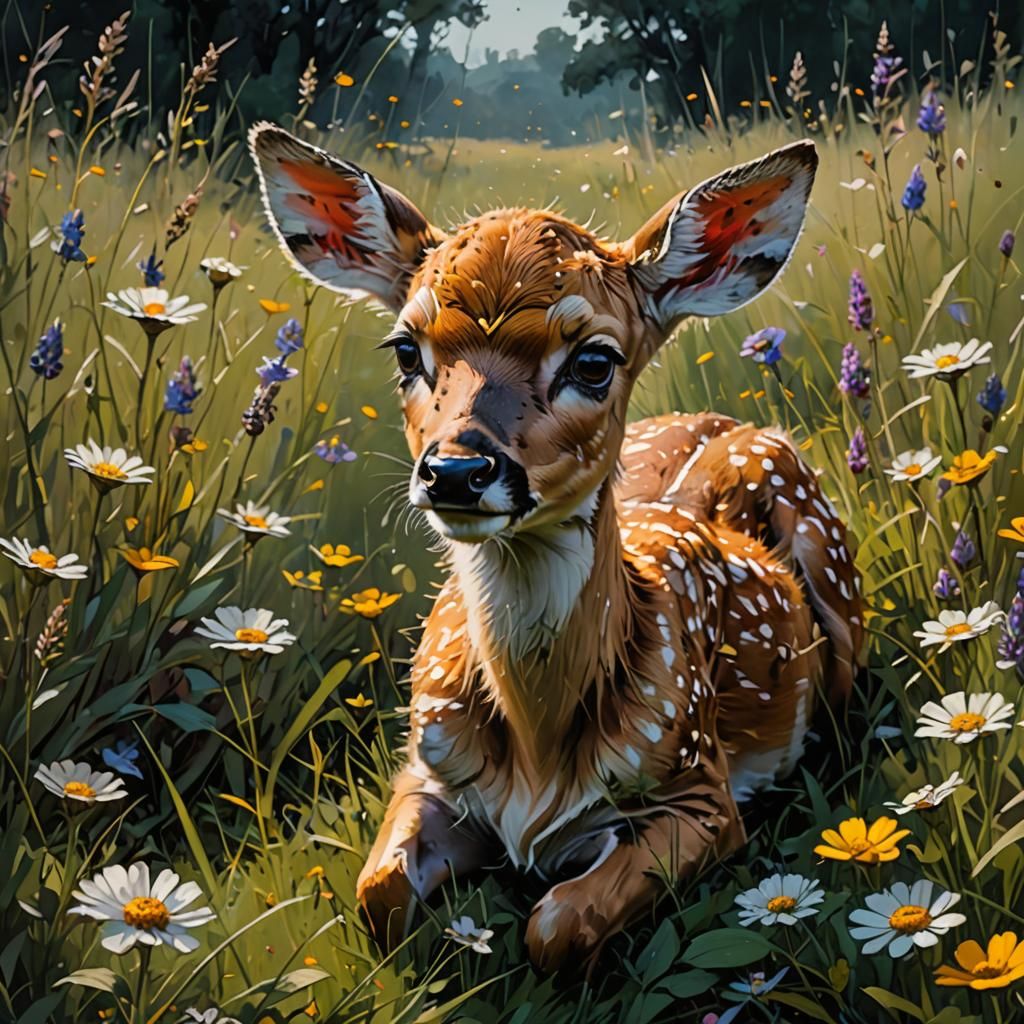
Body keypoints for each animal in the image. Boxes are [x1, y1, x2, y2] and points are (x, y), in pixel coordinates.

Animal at [250, 124, 862, 971]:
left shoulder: (701, 792)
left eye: (594, 360)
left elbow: (559, 924)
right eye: (406, 349)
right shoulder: (425, 767)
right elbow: (378, 893)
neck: (536, 755)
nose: (456, 470)